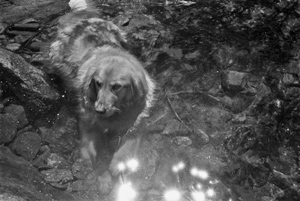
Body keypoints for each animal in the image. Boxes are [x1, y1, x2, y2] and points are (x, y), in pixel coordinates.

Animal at [46, 0, 156, 195]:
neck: (116, 114)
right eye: (97, 83)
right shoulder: (88, 127)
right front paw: (103, 178)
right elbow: (97, 156)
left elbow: (128, 144)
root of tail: (83, 17)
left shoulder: (137, 123)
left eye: (116, 86)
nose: (99, 110)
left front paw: (118, 163)